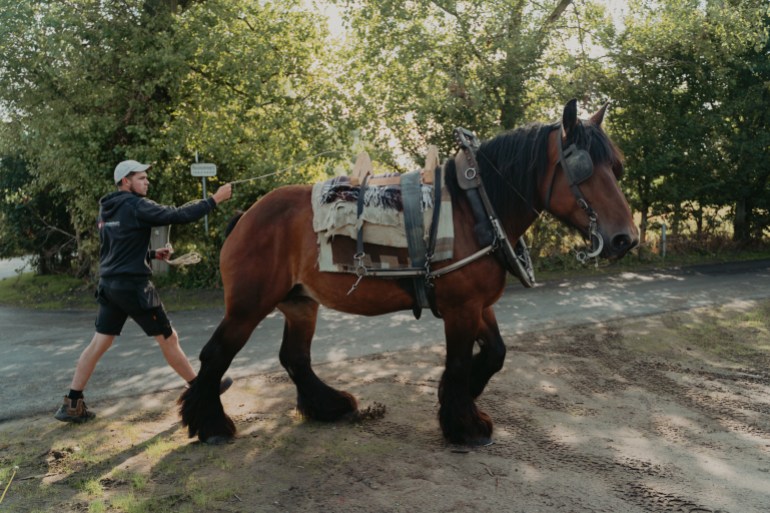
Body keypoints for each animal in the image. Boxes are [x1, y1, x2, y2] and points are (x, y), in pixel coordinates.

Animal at [178, 99, 636, 444]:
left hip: (300, 303)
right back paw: (211, 425)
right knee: (215, 355)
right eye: (582, 169)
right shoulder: (461, 308)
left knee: (295, 357)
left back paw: (328, 406)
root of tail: (246, 216)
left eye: (616, 167)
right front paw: (464, 425)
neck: (477, 210)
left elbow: (495, 353)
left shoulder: (478, 305)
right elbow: (457, 362)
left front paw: (459, 398)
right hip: (248, 306)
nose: (625, 239)